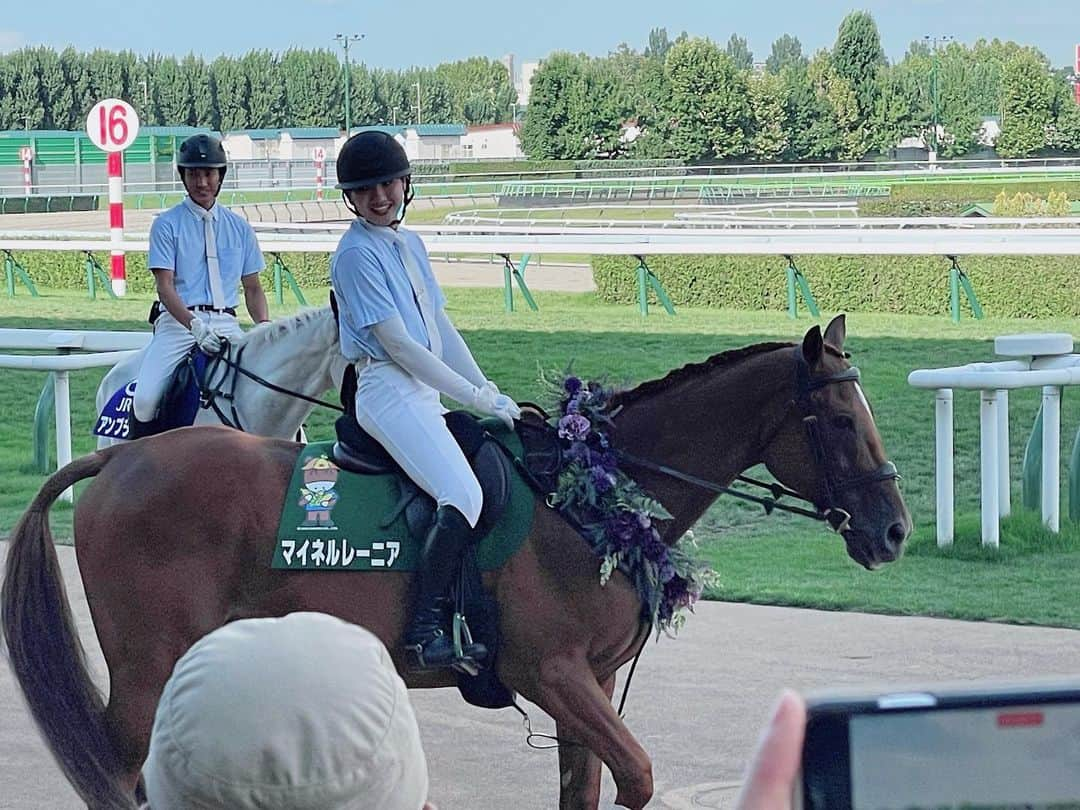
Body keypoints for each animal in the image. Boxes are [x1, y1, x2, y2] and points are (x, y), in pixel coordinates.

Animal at [2, 315, 911, 810]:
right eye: (838, 419)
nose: (895, 530)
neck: (590, 495)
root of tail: (120, 460)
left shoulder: (590, 686)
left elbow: (586, 789)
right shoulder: (554, 675)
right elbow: (641, 776)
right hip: (143, 673)